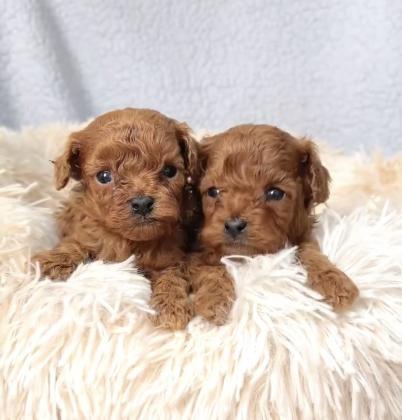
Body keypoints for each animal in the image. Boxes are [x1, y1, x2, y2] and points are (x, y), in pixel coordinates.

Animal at [33, 108, 199, 330]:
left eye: (169, 171)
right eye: (104, 176)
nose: (142, 203)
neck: (129, 241)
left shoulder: (172, 258)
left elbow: (171, 279)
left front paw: (170, 308)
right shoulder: (87, 227)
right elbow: (77, 242)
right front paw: (53, 261)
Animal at [188, 124, 359, 325]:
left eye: (275, 193)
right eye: (213, 191)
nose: (234, 225)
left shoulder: (302, 234)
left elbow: (310, 252)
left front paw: (335, 281)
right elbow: (212, 269)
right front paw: (214, 300)